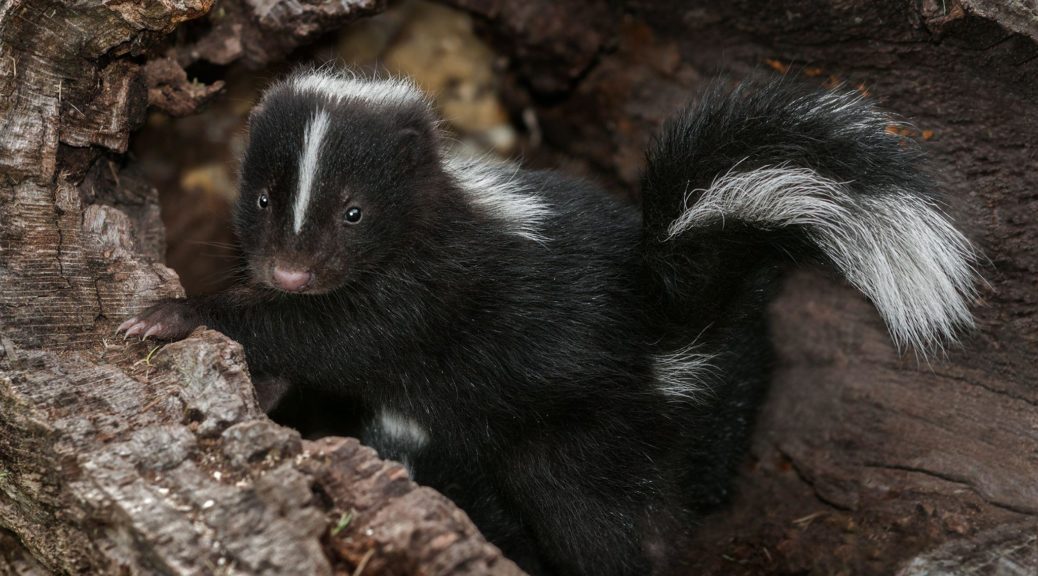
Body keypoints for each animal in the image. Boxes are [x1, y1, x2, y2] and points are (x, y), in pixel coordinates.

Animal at [117, 72, 975, 576]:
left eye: (354, 212)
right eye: (264, 197)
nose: (290, 272)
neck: (430, 217)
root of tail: (661, 327)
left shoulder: (429, 291)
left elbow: (334, 333)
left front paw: (172, 313)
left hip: (578, 428)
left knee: (596, 519)